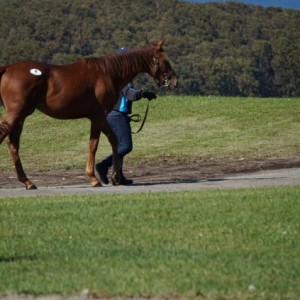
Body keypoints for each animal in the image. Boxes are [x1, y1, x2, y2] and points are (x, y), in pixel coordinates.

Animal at [0, 39, 177, 190]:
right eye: (165, 60)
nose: (174, 81)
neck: (109, 73)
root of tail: (8, 68)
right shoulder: (97, 116)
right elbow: (93, 144)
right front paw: (93, 178)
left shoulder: (102, 117)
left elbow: (114, 139)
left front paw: (115, 176)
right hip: (17, 113)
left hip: (21, 117)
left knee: (13, 144)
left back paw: (28, 182)